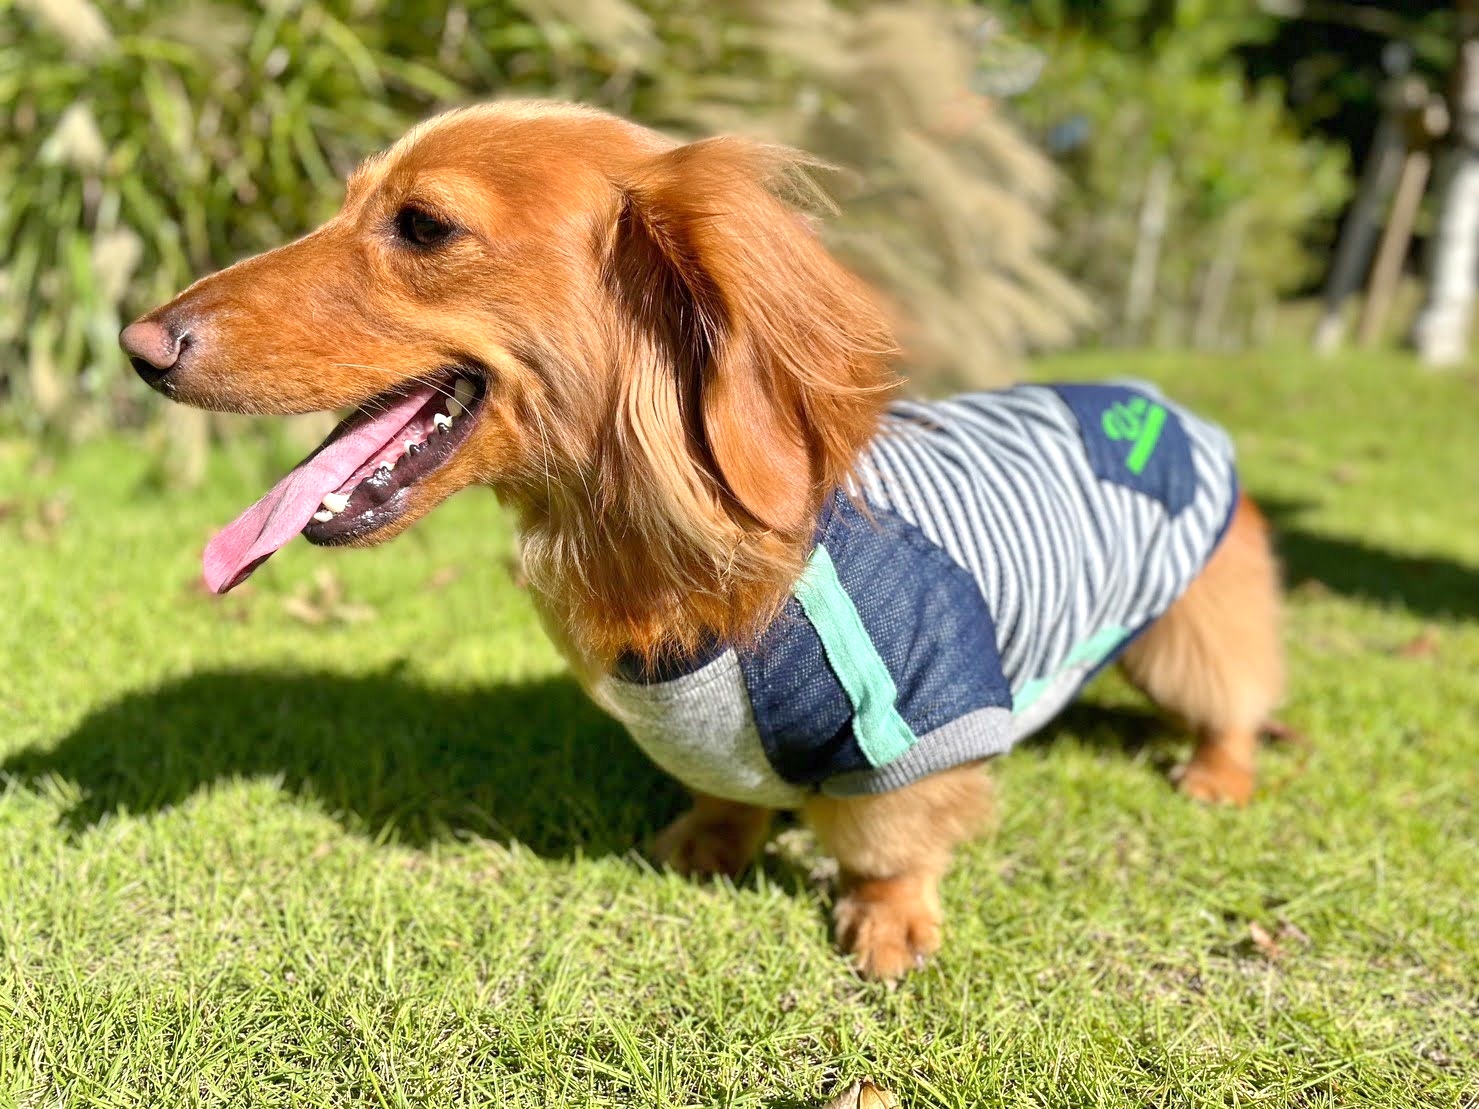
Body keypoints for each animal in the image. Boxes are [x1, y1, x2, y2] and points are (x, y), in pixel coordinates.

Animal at [121, 101, 1283, 981]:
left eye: (423, 225)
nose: (138, 344)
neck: (682, 563)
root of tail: (1160, 399)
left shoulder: (927, 711)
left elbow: (890, 840)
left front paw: (890, 921)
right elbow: (724, 792)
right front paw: (704, 843)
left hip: (1188, 626)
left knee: (1232, 694)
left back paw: (1217, 773)